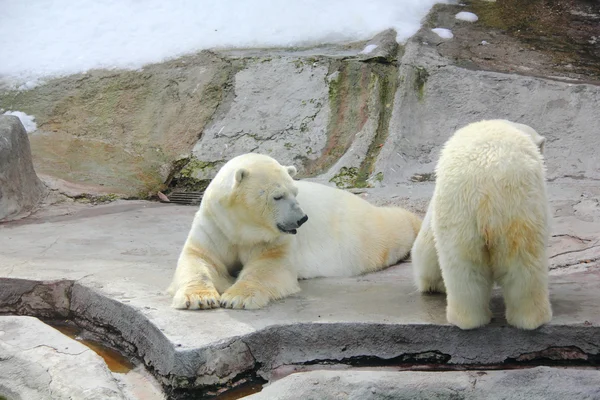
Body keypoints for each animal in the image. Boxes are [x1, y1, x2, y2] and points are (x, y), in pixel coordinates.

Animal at [169, 152, 422, 310]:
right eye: (277, 196)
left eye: (295, 192)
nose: (302, 218)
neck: (241, 227)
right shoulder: (215, 226)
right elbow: (199, 259)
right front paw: (198, 299)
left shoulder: (272, 239)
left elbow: (269, 266)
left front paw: (237, 298)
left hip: (361, 233)